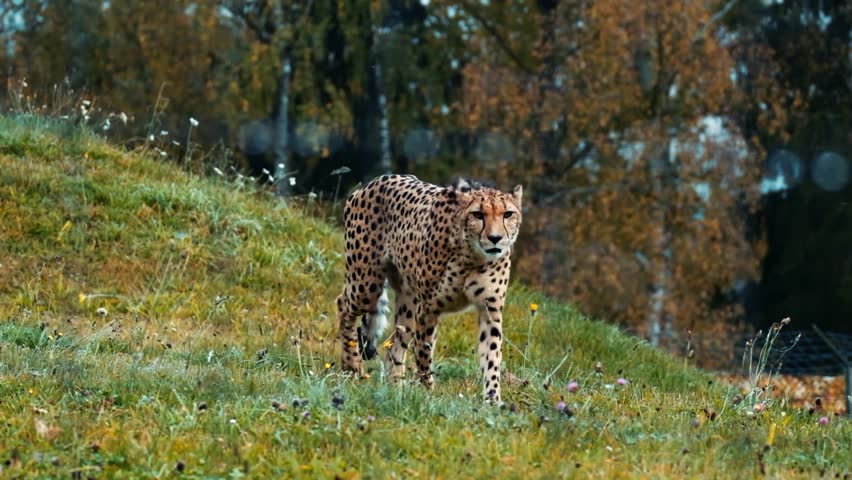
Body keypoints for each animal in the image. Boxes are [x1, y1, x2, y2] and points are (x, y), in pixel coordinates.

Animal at [336, 174, 523, 402]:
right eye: (478, 214)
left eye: (508, 214)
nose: (495, 238)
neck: (473, 257)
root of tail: (376, 180)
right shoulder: (428, 309)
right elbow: (424, 351)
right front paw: (426, 391)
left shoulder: (490, 310)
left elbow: (492, 355)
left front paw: (493, 399)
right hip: (366, 284)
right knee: (344, 305)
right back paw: (351, 366)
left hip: (407, 301)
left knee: (396, 341)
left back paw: (395, 386)